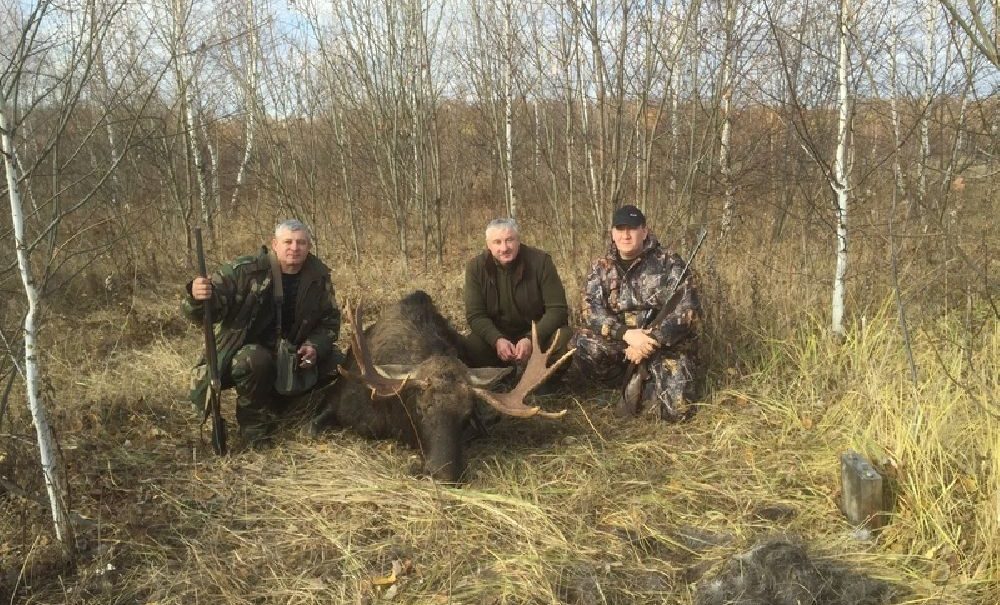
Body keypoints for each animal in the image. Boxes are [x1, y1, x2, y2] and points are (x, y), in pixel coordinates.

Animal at [308, 290, 576, 484]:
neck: (392, 414)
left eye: (467, 416)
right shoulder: (338, 400)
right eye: (419, 409)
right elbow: (314, 426)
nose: (443, 474)